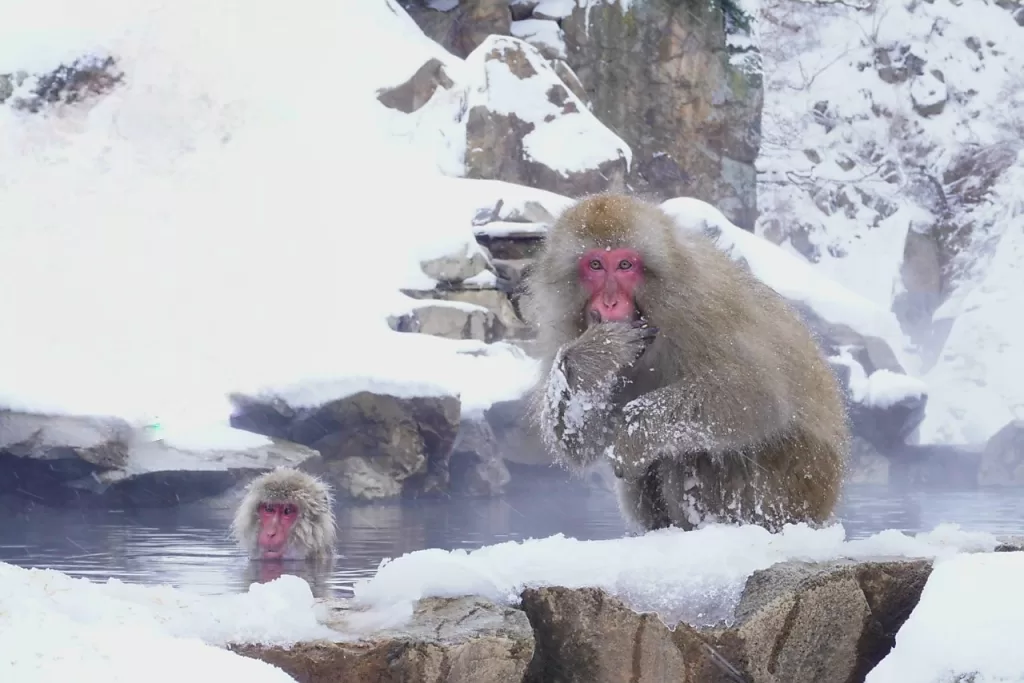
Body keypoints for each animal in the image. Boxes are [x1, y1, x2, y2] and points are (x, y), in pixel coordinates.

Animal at [520, 194, 847, 532]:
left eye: (625, 265)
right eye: (595, 265)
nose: (610, 303)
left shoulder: (704, 305)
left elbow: (757, 396)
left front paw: (637, 428)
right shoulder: (564, 329)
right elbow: (579, 440)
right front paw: (595, 353)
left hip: (784, 490)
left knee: (692, 451)